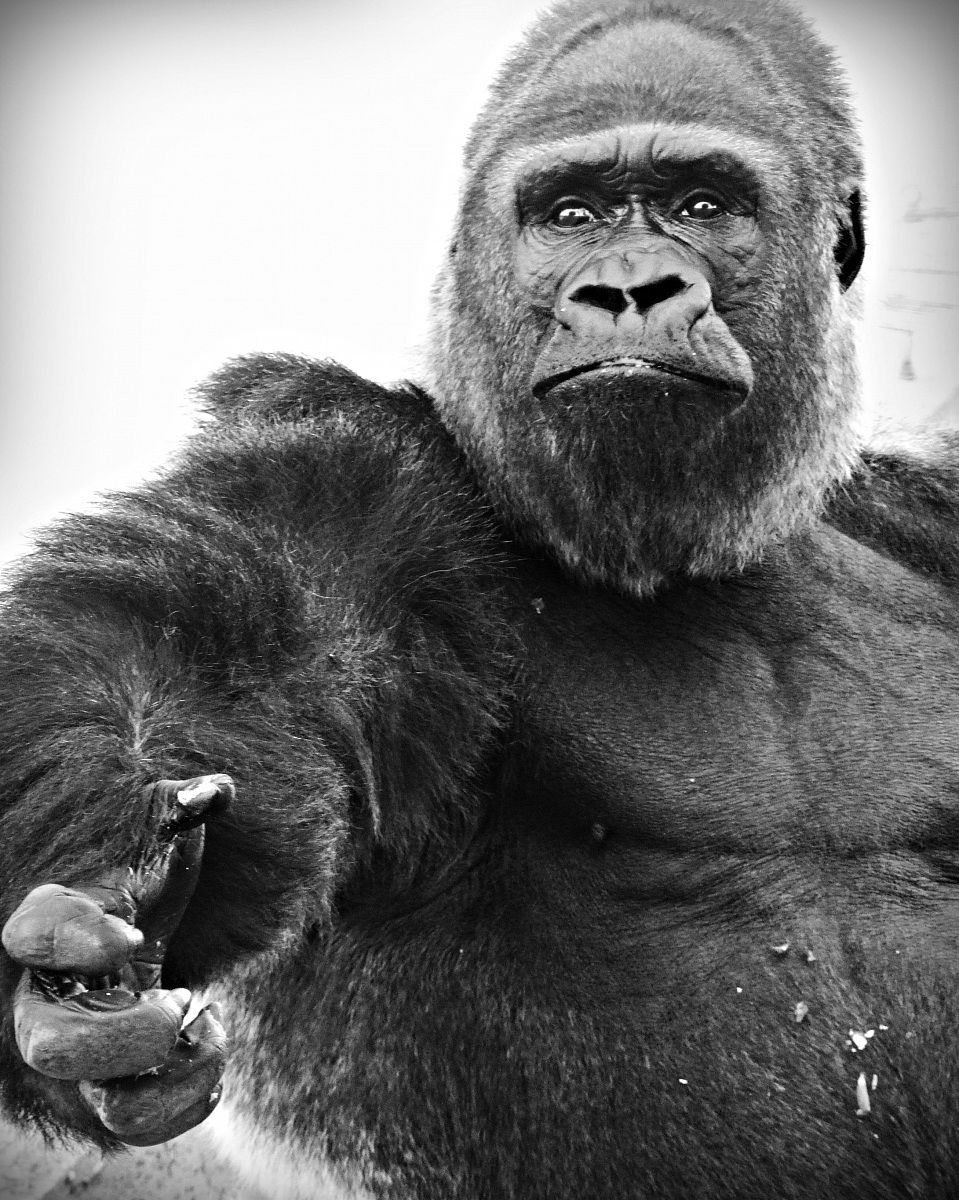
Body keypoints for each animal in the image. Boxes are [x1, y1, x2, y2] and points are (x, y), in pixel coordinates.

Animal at [1, 1, 958, 1198]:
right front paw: (112, 860)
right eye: (570, 214)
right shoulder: (366, 461)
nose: (629, 290)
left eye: (703, 205)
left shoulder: (925, 510)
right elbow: (224, 635)